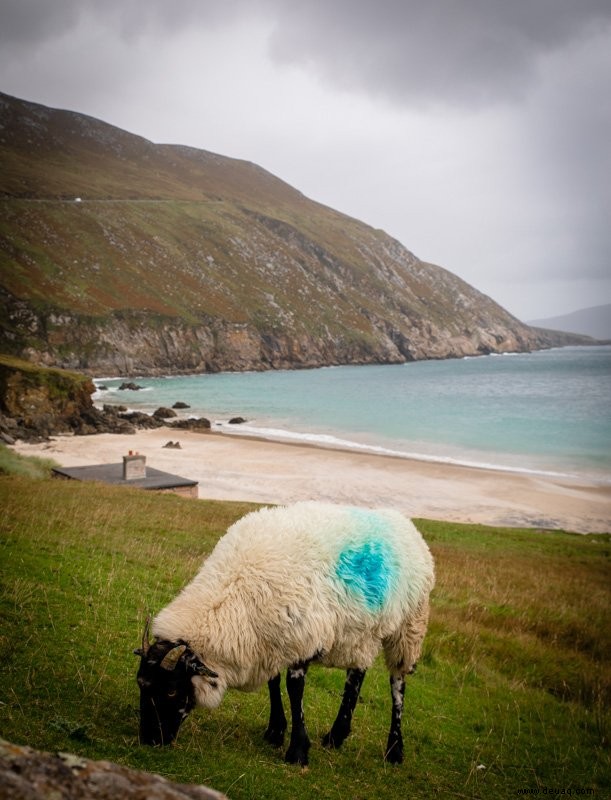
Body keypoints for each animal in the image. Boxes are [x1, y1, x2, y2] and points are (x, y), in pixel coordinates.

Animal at [137, 504, 438, 764]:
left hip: (410, 625)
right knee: (357, 675)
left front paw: (298, 751)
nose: (150, 740)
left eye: (172, 690)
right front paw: (275, 731)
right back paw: (336, 735)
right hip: (362, 632)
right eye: (142, 685)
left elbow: (295, 690)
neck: (232, 592)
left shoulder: (304, 636)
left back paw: (394, 750)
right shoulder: (272, 639)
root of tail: (405, 522)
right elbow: (274, 682)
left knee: (397, 684)